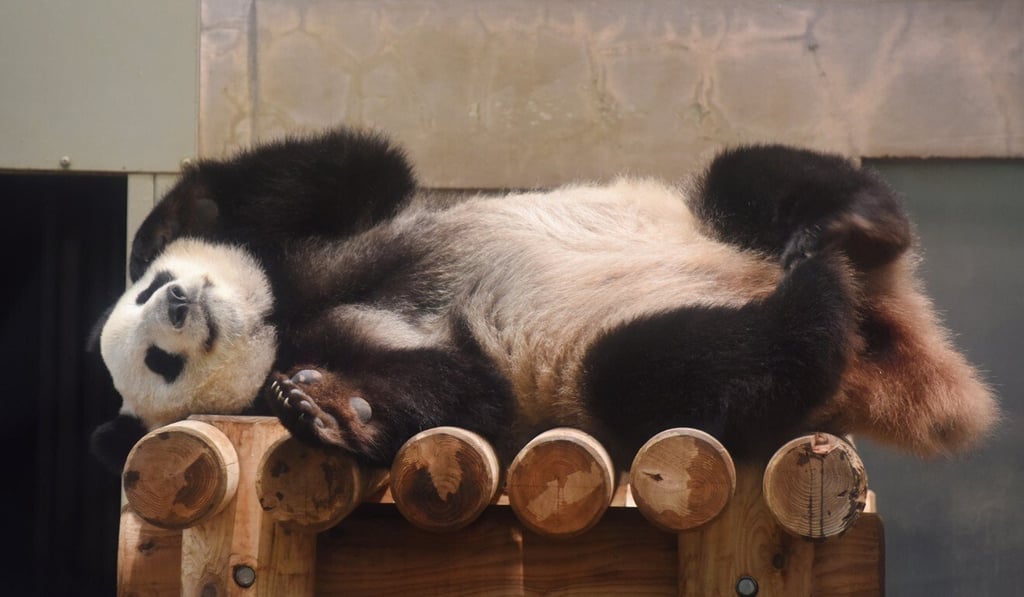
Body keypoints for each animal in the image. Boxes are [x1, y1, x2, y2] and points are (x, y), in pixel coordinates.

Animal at [93, 136, 998, 473]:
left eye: (148, 293)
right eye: (159, 361)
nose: (181, 299)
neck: (286, 314)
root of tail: (893, 340)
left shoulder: (334, 234)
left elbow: (345, 169)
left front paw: (167, 222)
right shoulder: (351, 341)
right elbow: (469, 393)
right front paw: (330, 414)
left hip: (709, 212)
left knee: (754, 178)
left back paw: (851, 228)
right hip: (615, 375)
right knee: (668, 369)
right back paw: (815, 300)